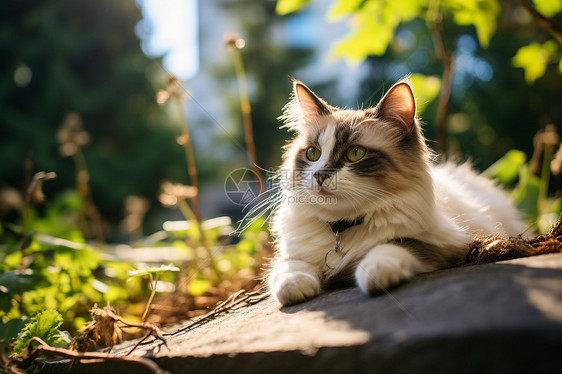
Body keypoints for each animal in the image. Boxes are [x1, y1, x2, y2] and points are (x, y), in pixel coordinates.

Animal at [266, 76, 524, 306]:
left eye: (355, 153)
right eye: (313, 154)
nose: (319, 175)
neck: (343, 227)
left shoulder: (445, 245)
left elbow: (392, 246)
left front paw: (374, 272)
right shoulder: (294, 254)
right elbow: (289, 268)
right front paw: (294, 286)